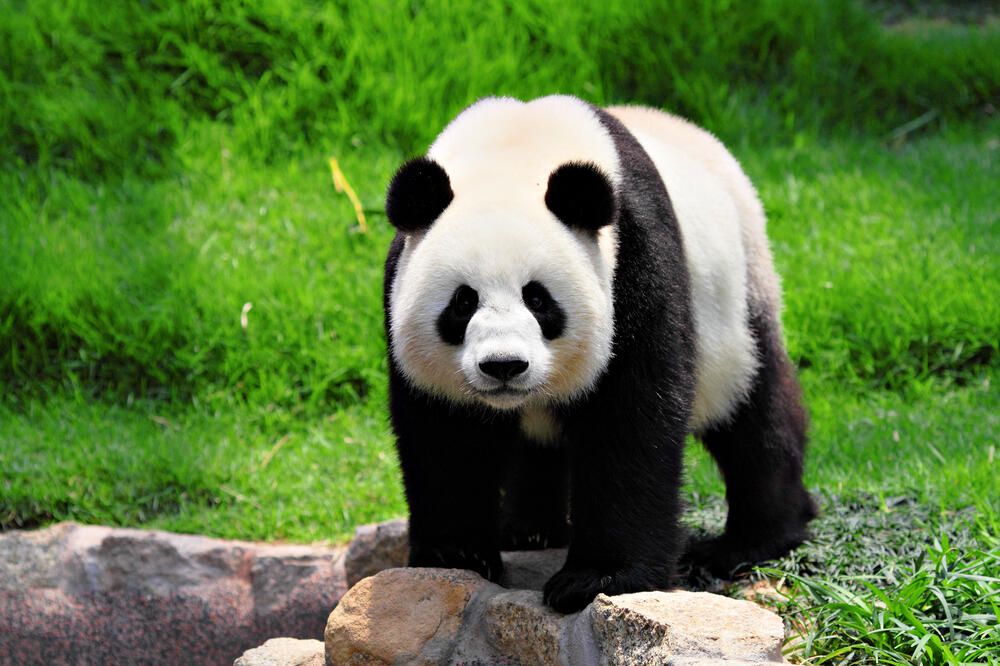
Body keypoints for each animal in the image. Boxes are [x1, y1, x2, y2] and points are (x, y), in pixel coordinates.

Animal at [382, 95, 816, 613]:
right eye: (462, 302)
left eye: (538, 298)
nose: (504, 366)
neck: (515, 153)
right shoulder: (400, 286)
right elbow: (447, 433)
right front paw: (457, 554)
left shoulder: (635, 258)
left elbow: (631, 417)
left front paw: (596, 579)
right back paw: (529, 530)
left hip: (738, 298)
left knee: (754, 410)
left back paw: (752, 542)